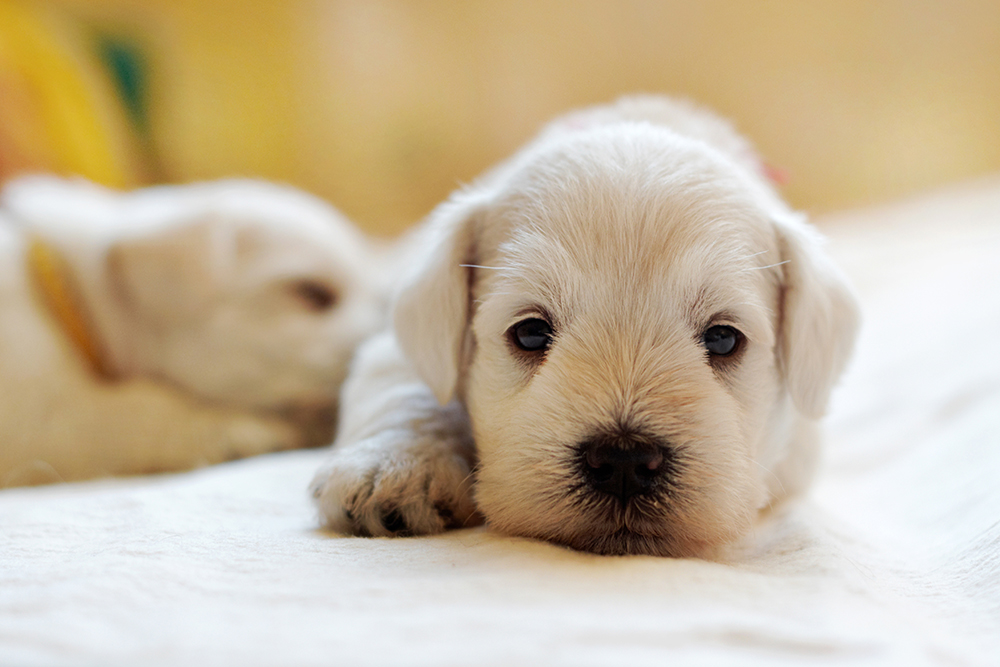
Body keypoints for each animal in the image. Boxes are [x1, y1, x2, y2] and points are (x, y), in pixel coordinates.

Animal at [314, 95, 860, 560]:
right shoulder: (395, 349)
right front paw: (392, 468)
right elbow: (412, 390)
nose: (624, 462)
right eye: (530, 333)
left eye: (724, 338)